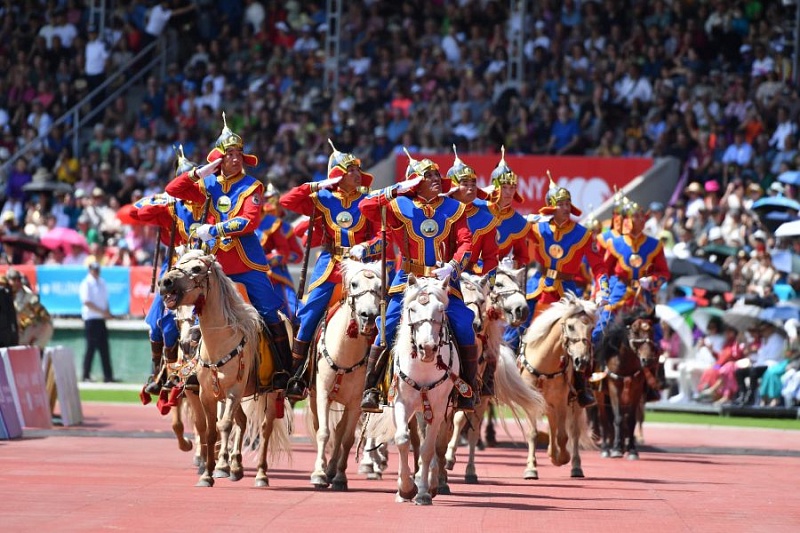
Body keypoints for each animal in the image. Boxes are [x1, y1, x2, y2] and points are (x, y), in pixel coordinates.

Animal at [159, 249, 290, 486]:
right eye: (178, 262)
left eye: (197, 268)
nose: (165, 282)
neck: (219, 342)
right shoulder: (205, 394)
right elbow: (210, 430)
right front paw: (207, 474)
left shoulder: (233, 391)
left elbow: (225, 425)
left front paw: (219, 466)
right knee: (242, 421)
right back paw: (236, 466)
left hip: (272, 392)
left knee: (265, 428)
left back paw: (261, 474)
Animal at [308, 258, 382, 490]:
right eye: (354, 284)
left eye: (379, 287)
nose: (369, 316)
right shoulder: (322, 392)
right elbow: (323, 432)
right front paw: (318, 474)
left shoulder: (356, 401)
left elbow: (348, 438)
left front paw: (340, 476)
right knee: (320, 426)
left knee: (341, 430)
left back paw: (332, 469)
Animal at [440, 272, 548, 484]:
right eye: (498, 284)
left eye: (482, 300)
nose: (522, 310)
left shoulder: (476, 395)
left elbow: (461, 422)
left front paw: (450, 458)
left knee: (472, 429)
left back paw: (470, 470)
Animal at [516, 294, 596, 480]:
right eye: (571, 326)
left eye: (591, 329)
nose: (582, 361)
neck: (544, 364)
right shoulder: (532, 403)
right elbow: (533, 433)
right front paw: (531, 468)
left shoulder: (561, 402)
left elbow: (563, 436)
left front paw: (562, 458)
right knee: (552, 426)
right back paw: (551, 454)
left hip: (573, 405)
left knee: (573, 432)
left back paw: (575, 466)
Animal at [592, 306, 656, 460]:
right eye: (635, 331)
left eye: (652, 330)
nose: (648, 360)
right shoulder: (614, 388)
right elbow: (618, 418)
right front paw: (615, 449)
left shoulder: (636, 390)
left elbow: (631, 419)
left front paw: (632, 450)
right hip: (600, 395)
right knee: (603, 419)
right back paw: (606, 449)